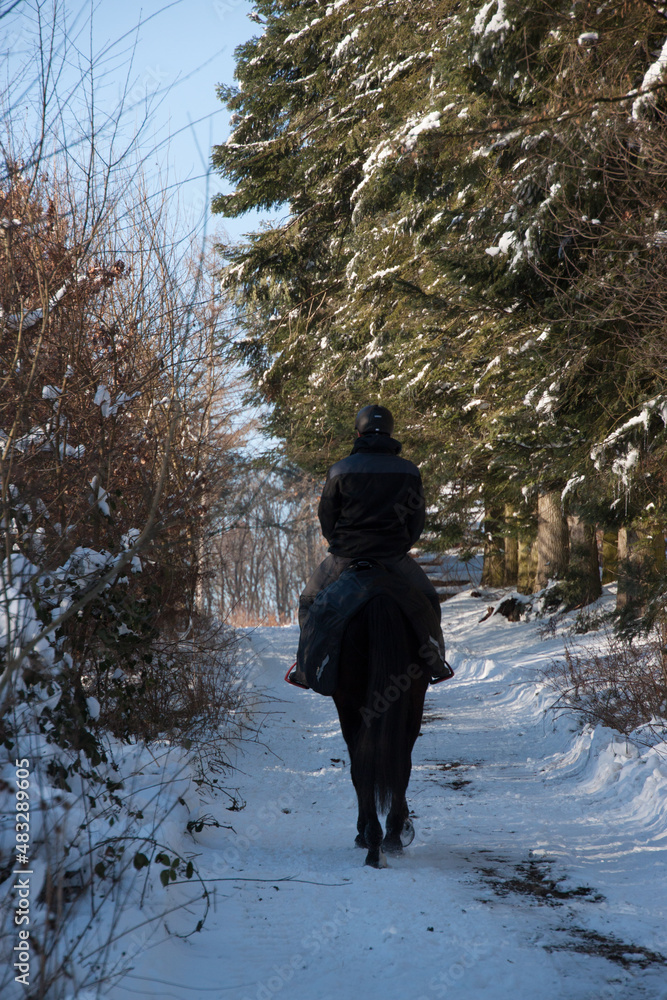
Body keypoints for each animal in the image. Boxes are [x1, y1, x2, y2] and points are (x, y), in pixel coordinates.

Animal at [332, 593, 430, 868]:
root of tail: (380, 600)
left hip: (351, 704)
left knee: (362, 764)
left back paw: (374, 842)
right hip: (414, 699)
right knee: (401, 762)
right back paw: (391, 837)